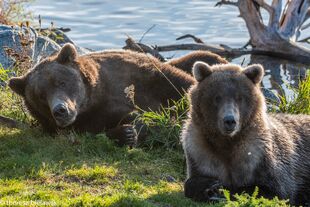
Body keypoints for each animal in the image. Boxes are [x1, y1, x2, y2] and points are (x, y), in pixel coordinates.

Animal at [8, 43, 224, 146]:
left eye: (61, 82)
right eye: (40, 95)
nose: (60, 110)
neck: (93, 97)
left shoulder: (136, 73)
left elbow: (180, 84)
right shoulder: (88, 121)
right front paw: (127, 133)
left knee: (203, 56)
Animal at [182, 61, 310, 205]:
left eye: (240, 97)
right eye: (217, 97)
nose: (229, 120)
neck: (228, 142)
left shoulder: (259, 156)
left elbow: (273, 190)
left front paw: (223, 191)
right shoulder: (199, 153)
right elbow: (193, 179)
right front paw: (210, 186)